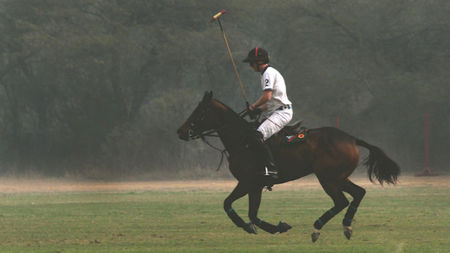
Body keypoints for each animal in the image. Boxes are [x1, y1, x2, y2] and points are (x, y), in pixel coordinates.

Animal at [178, 92, 400, 242]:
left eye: (200, 111)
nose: (181, 131)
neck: (241, 141)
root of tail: (352, 139)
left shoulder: (249, 182)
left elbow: (234, 207)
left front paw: (261, 227)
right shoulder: (253, 185)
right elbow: (246, 211)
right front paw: (272, 227)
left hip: (327, 178)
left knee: (341, 201)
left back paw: (317, 228)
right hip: (338, 177)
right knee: (358, 193)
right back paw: (346, 226)